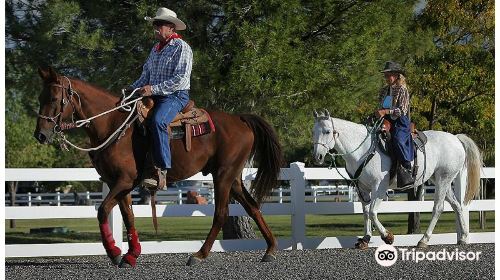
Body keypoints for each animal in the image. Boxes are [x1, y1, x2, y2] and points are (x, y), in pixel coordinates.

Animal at [34, 66, 284, 268]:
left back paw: (199, 255)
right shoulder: (119, 183)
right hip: (234, 178)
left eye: (55, 98)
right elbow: (128, 216)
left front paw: (114, 253)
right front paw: (131, 255)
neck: (113, 125)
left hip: (223, 175)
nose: (40, 135)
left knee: (221, 213)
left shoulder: (124, 181)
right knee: (252, 206)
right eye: (40, 97)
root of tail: (240, 119)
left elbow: (103, 210)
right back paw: (271, 249)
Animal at [310, 109, 482, 247]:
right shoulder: (362, 189)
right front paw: (365, 239)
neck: (363, 150)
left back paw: (423, 240)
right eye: (313, 132)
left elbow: (372, 212)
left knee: (438, 208)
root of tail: (456, 139)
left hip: (443, 179)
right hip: (440, 181)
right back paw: (463, 238)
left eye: (327, 131)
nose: (317, 157)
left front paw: (387, 237)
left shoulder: (379, 187)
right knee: (457, 205)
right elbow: (365, 213)